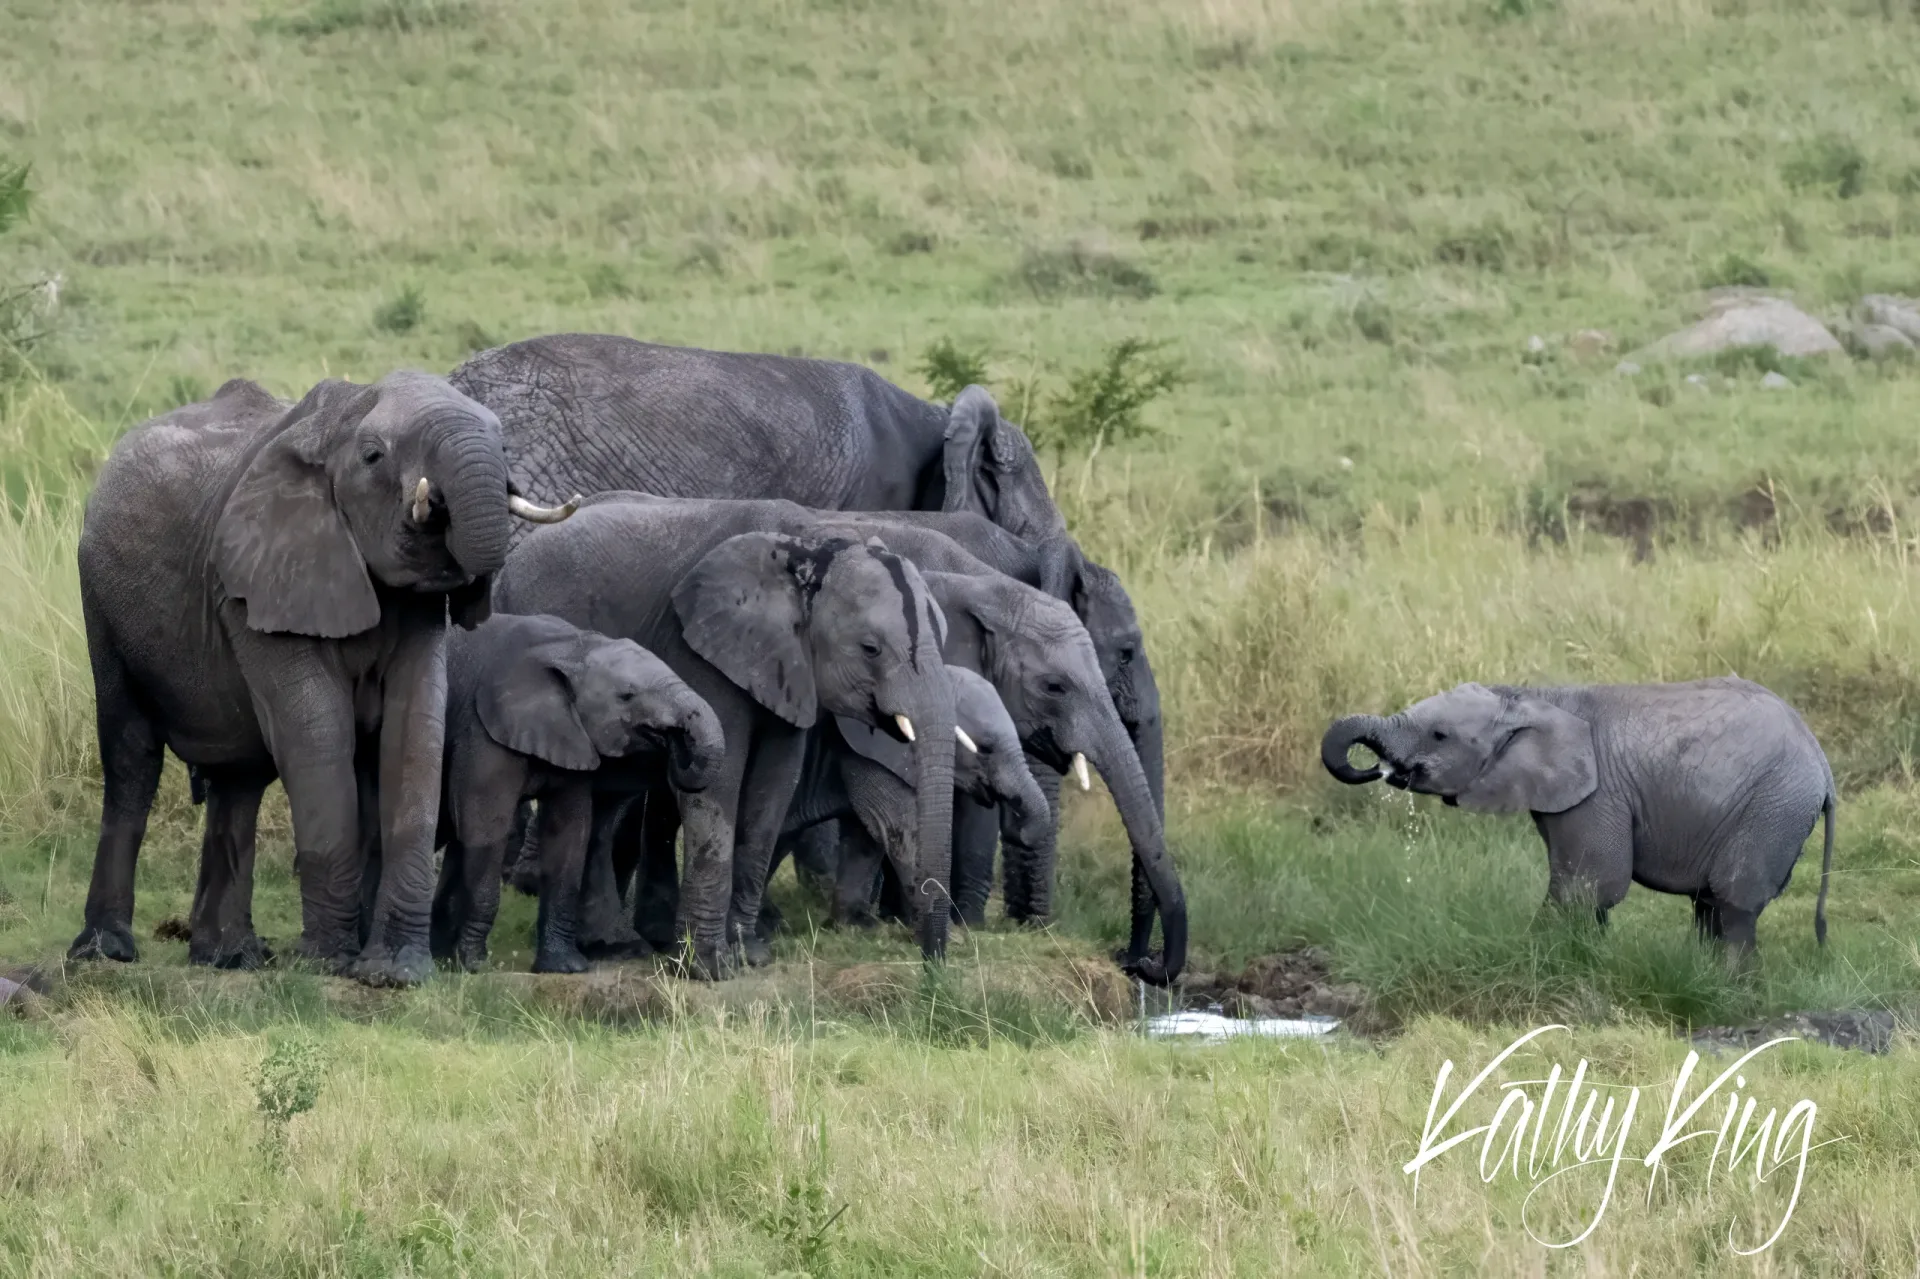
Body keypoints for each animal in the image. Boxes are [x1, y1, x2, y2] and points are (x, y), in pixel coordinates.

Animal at [69, 373, 581, 986]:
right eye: (374, 456)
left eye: (503, 442)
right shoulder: (262, 581)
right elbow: (317, 734)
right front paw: (328, 965)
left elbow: (413, 733)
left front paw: (396, 972)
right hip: (102, 603)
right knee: (132, 759)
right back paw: (107, 951)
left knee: (239, 780)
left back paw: (230, 957)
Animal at [428, 613, 724, 973]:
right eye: (627, 695)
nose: (678, 740)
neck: (572, 648)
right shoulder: (482, 729)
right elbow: (485, 826)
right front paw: (473, 966)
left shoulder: (575, 736)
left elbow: (569, 833)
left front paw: (565, 967)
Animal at [490, 494, 958, 974]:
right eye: (870, 649)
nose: (932, 964)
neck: (814, 543)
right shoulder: (702, 647)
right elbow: (724, 780)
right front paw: (710, 968)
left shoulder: (788, 668)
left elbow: (773, 789)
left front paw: (750, 954)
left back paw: (615, 946)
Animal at [1320, 678, 1836, 956]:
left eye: (1439, 735)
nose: (1380, 768)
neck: (1532, 695)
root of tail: (1821, 761)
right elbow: (1589, 893)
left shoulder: (1598, 793)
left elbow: (1587, 887)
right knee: (1710, 904)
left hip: (1773, 805)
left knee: (1733, 901)